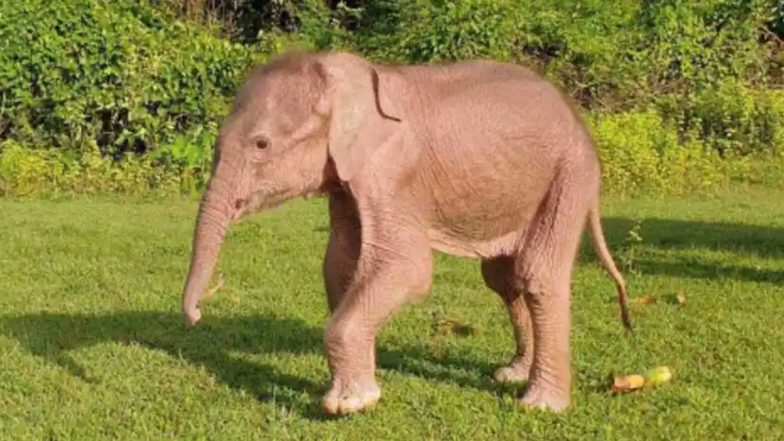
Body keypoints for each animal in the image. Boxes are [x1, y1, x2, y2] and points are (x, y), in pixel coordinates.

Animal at [179, 50, 632, 412]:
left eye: (261, 145)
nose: (197, 315)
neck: (346, 76)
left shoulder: (394, 172)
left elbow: (405, 267)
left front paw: (348, 405)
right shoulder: (348, 178)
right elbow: (340, 264)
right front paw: (353, 388)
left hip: (569, 175)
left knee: (537, 274)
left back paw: (541, 405)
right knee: (503, 278)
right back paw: (512, 374)